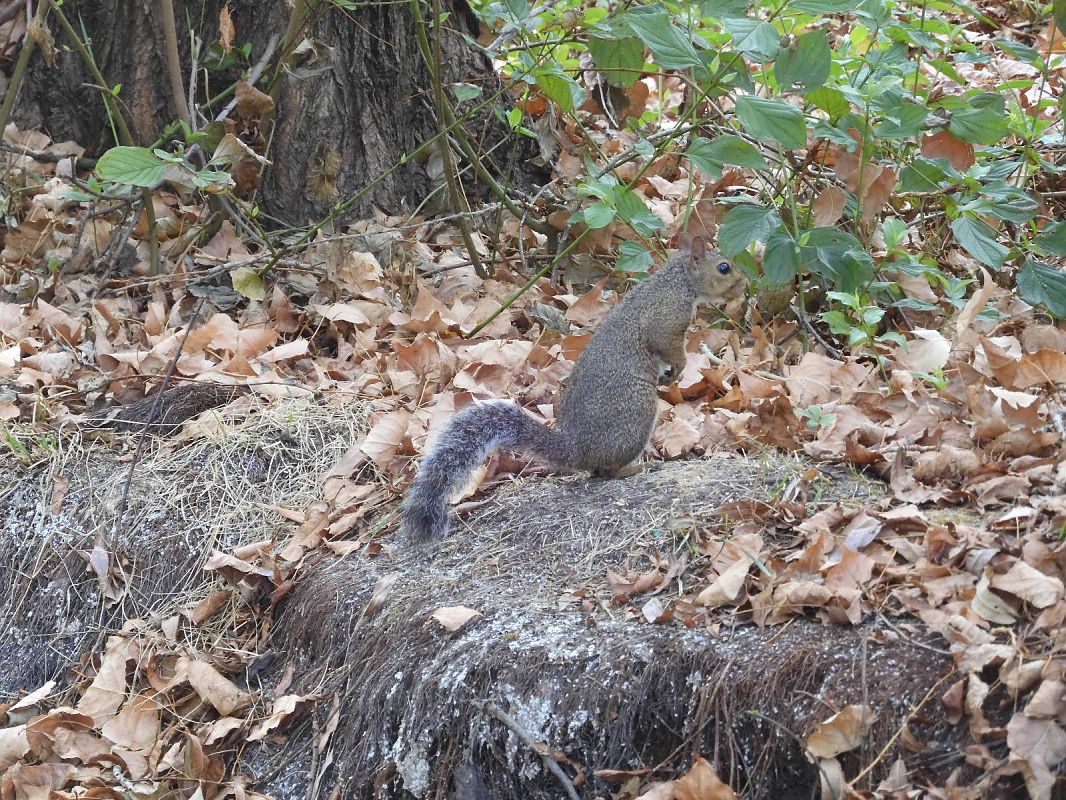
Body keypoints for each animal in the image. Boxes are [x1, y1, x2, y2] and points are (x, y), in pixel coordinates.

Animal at [399, 235, 747, 544]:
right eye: (724, 267)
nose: (745, 285)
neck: (679, 282)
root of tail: (577, 448)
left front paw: (669, 376)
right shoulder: (667, 319)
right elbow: (669, 346)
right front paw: (678, 369)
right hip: (637, 413)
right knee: (605, 471)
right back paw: (635, 468)